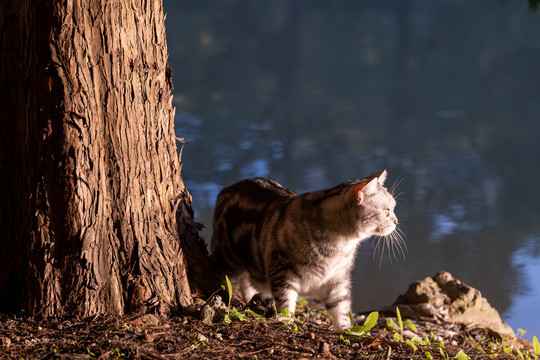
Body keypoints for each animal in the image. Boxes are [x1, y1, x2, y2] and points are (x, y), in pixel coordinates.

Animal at [209, 170, 398, 330]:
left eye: (393, 208)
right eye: (387, 212)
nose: (397, 222)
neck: (340, 244)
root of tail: (225, 189)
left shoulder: (337, 278)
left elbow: (341, 307)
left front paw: (347, 331)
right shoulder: (282, 271)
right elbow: (286, 301)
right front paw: (286, 321)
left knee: (247, 282)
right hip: (228, 257)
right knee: (220, 272)